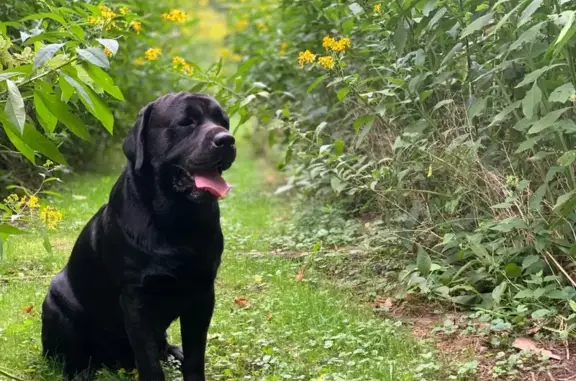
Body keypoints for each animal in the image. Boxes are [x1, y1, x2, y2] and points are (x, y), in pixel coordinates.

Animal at [41, 93, 236, 380]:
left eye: (224, 122)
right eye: (186, 123)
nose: (227, 140)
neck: (176, 220)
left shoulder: (202, 295)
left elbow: (194, 357)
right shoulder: (136, 300)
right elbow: (149, 363)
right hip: (55, 303)